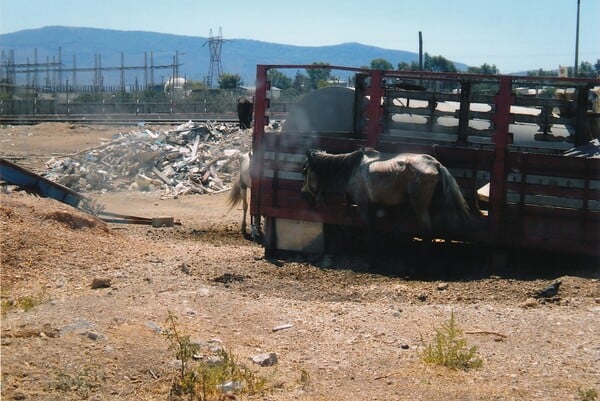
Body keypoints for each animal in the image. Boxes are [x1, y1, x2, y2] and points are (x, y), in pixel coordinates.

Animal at [302, 146, 476, 234]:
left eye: (304, 170)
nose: (303, 194)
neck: (353, 168)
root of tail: (436, 164)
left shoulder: (363, 204)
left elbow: (369, 227)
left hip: (419, 206)